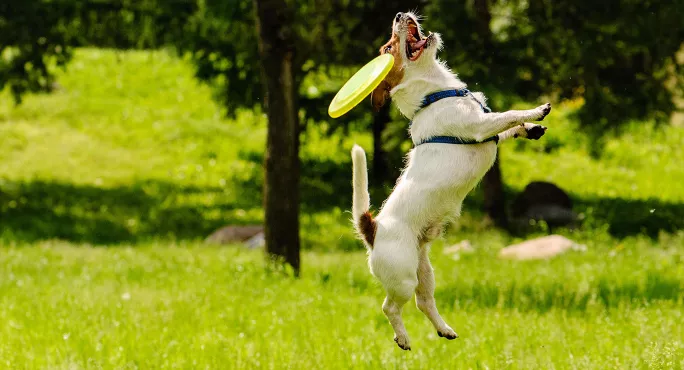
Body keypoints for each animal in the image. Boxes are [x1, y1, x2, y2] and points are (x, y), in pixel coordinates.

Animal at [352, 11, 552, 350]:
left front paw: (529, 129)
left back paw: (444, 329)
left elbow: (507, 127)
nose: (399, 14)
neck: (436, 92)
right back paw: (402, 337)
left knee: (424, 301)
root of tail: (374, 229)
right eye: (388, 47)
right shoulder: (480, 126)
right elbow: (508, 114)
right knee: (389, 306)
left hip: (424, 269)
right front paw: (535, 111)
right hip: (402, 276)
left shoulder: (488, 131)